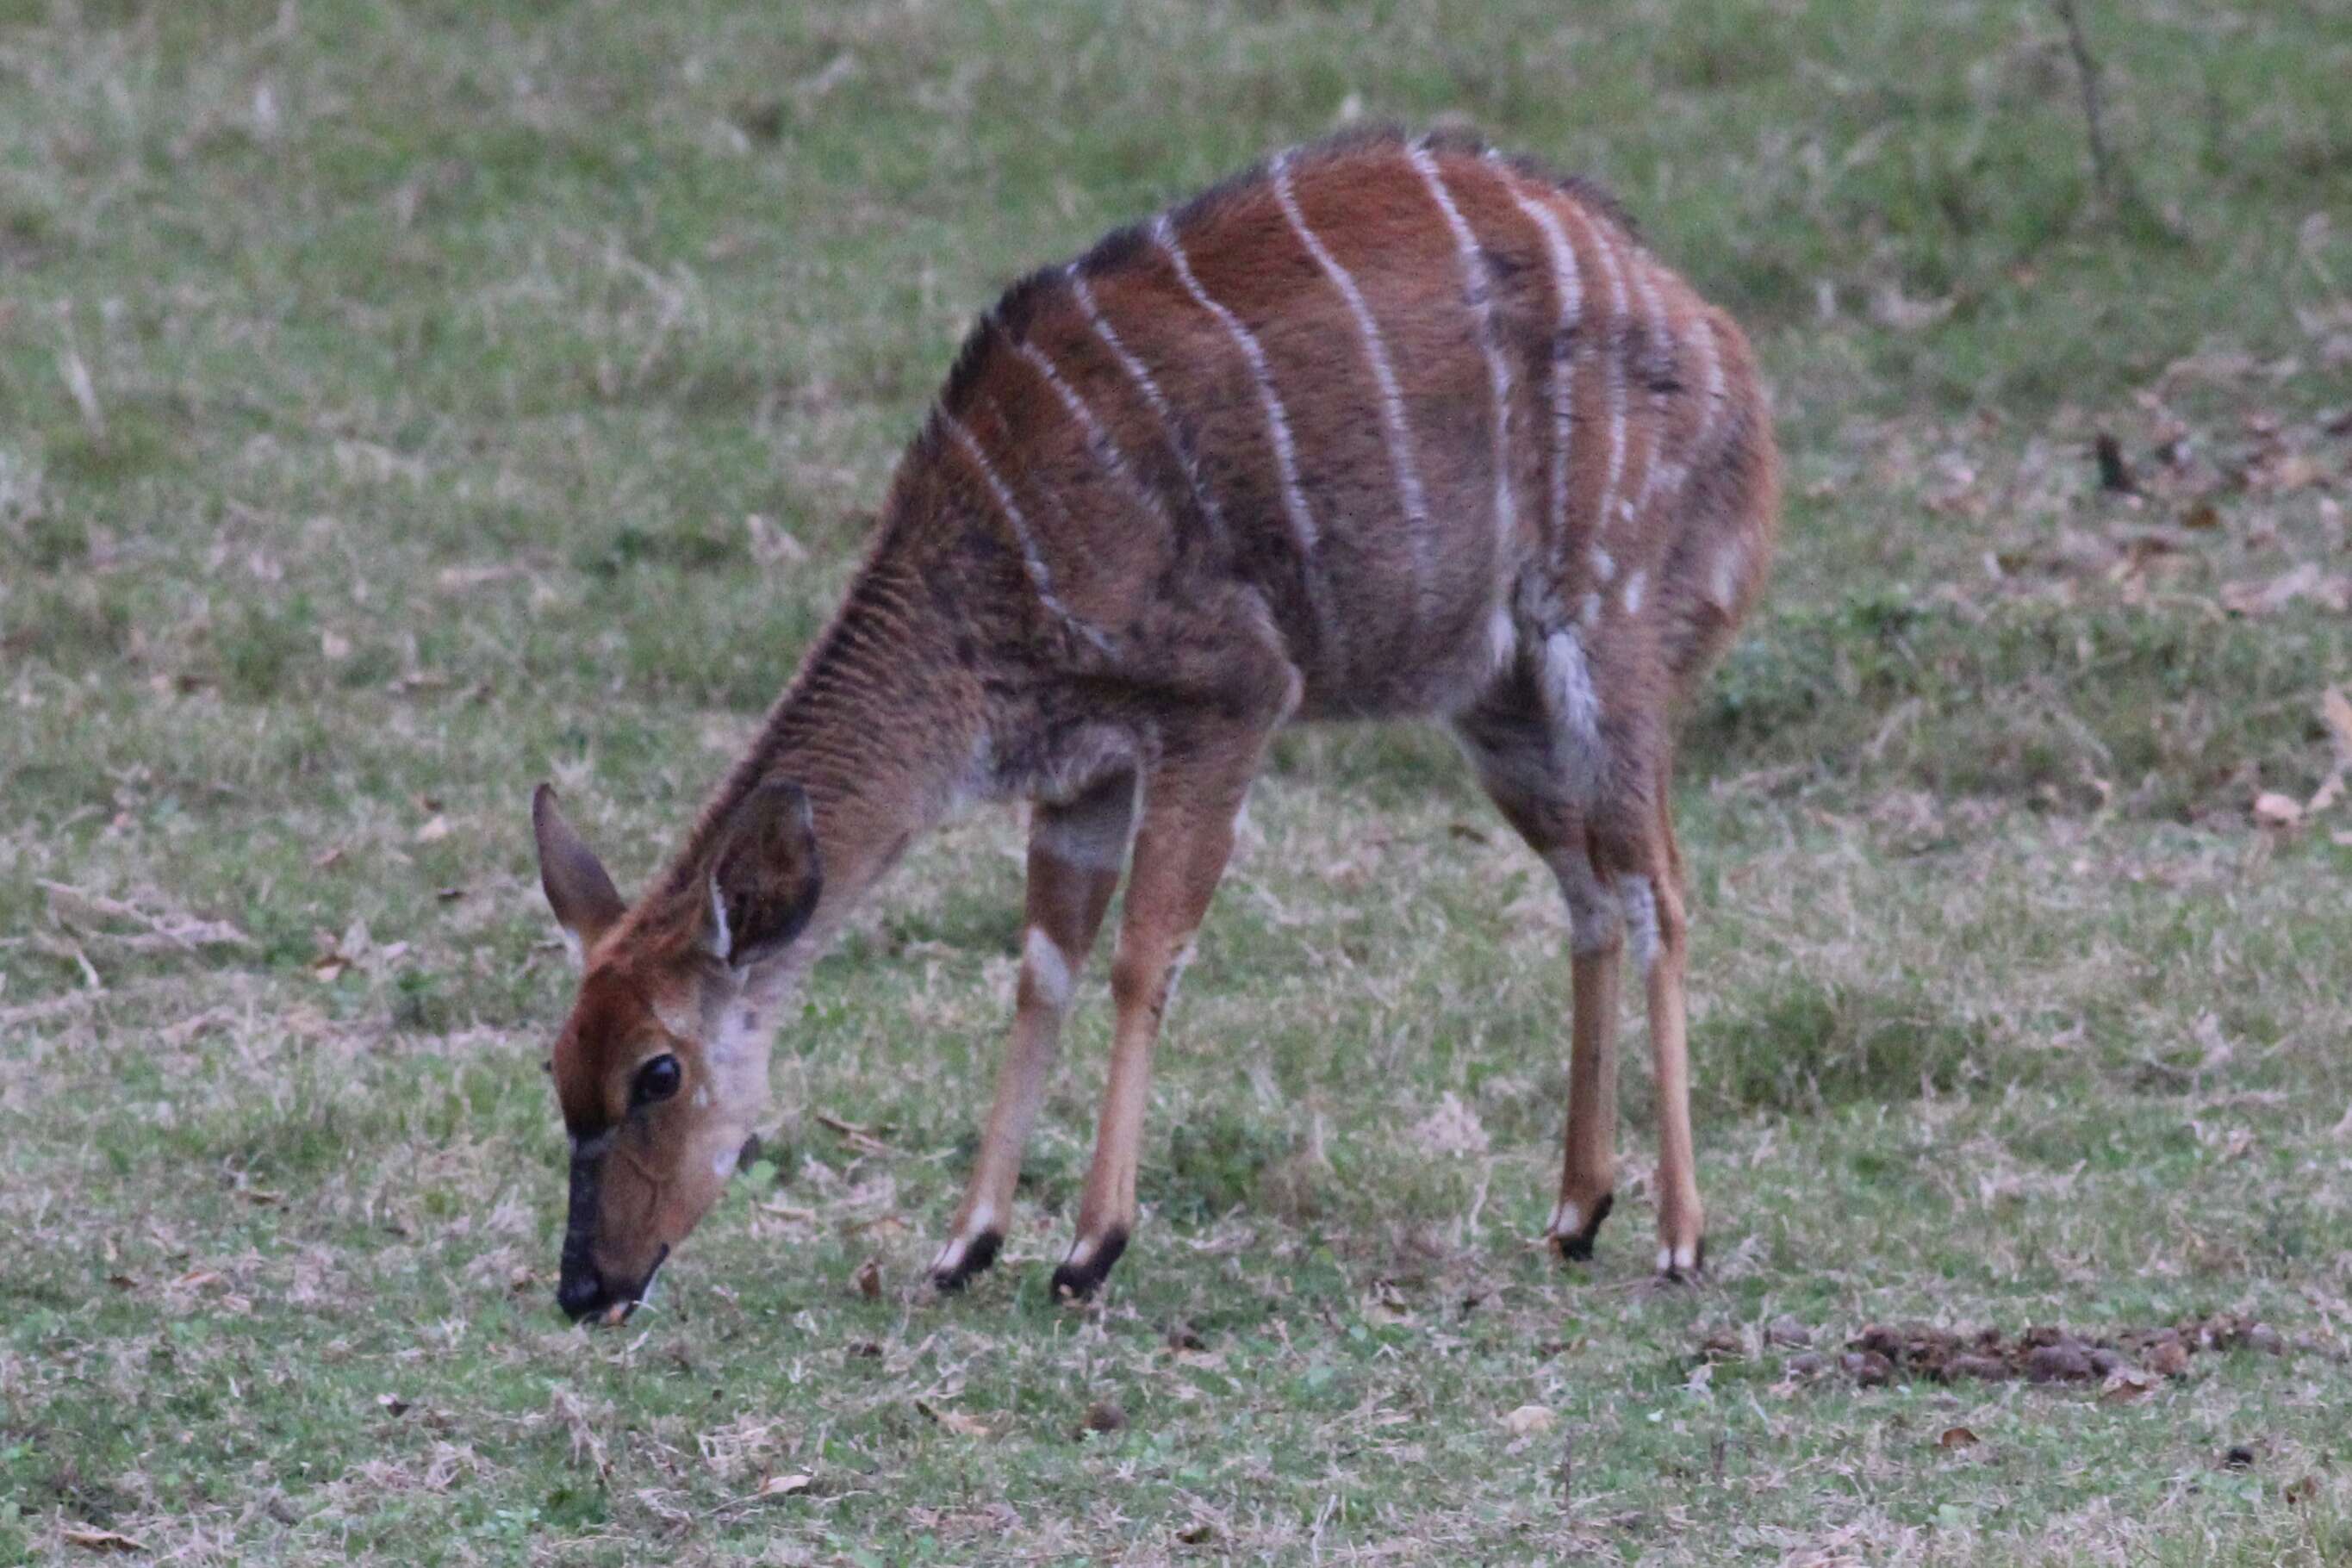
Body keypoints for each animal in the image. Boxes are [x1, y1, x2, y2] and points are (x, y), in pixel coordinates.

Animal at [538, 125, 1777, 1325]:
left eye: (657, 1072)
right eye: (559, 1065)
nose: (584, 1286)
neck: (992, 560)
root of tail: (1722, 352)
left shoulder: (1230, 696)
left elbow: (1144, 952)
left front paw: (1089, 1248)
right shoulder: (1081, 769)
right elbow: (1043, 964)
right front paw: (964, 1244)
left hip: (1607, 634)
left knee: (1657, 887)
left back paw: (1680, 1236)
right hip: (1497, 703)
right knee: (1589, 893)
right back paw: (1574, 1212)